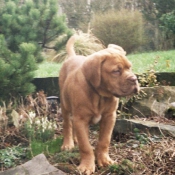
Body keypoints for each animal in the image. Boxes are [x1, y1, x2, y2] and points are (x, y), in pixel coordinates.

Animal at [58, 34, 139, 174]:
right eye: (116, 71)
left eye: (130, 67)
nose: (134, 79)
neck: (99, 95)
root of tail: (73, 56)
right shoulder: (81, 119)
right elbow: (85, 146)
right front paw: (86, 166)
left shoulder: (109, 117)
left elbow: (104, 141)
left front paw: (104, 160)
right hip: (65, 105)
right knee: (67, 124)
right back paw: (68, 144)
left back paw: (75, 139)